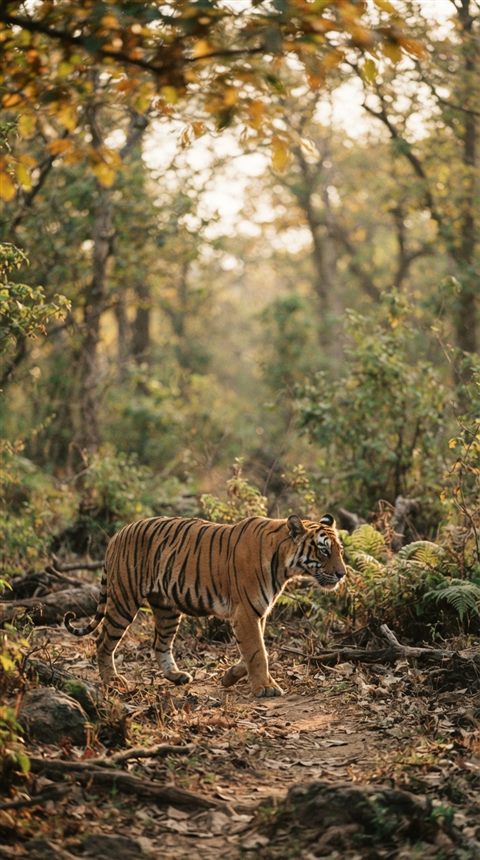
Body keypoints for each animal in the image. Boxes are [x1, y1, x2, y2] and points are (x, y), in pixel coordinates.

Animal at [64, 513, 347, 698]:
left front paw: (230, 676)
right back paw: (112, 681)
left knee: (160, 644)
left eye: (340, 550)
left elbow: (253, 651)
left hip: (167, 609)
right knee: (103, 641)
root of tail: (118, 534)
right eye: (323, 550)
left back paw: (176, 675)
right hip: (125, 599)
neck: (284, 564)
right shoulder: (246, 613)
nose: (342, 574)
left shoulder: (258, 613)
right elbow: (258, 652)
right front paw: (265, 688)